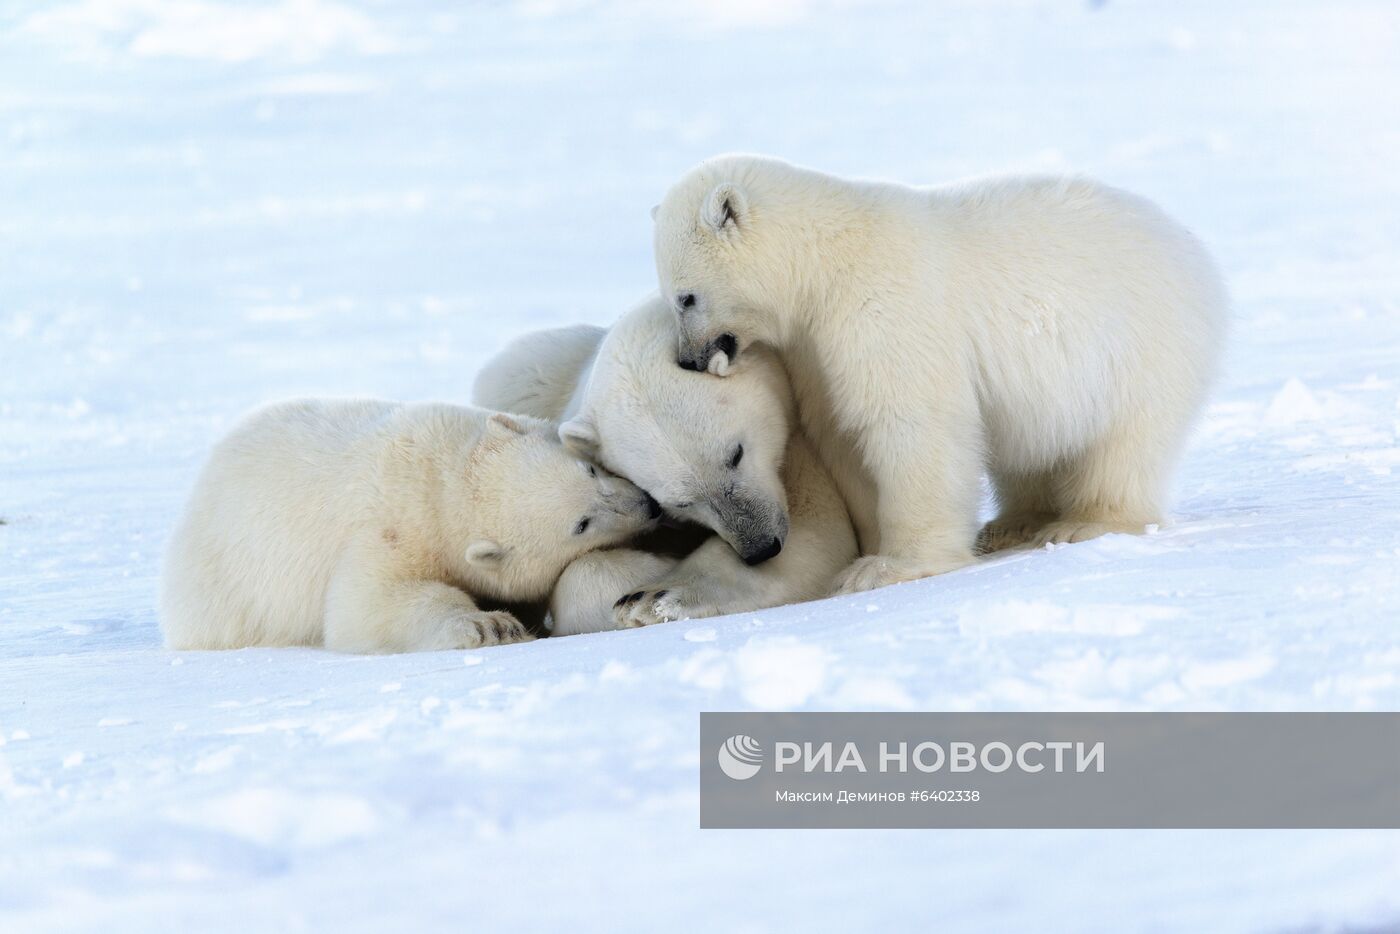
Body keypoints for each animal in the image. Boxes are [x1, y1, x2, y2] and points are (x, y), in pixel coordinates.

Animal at [161, 397, 663, 655]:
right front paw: (491, 626)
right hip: (225, 593)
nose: (648, 505)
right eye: (581, 524)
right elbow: (365, 606)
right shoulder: (391, 530)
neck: (443, 478)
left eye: (590, 471)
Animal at [646, 152, 1226, 590]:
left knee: (1123, 443)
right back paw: (1012, 524)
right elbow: (843, 438)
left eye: (685, 297)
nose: (689, 360)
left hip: (1139, 347)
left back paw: (1084, 523)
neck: (825, 260)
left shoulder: (883, 307)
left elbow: (909, 424)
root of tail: (1192, 248)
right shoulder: (814, 350)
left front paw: (887, 567)